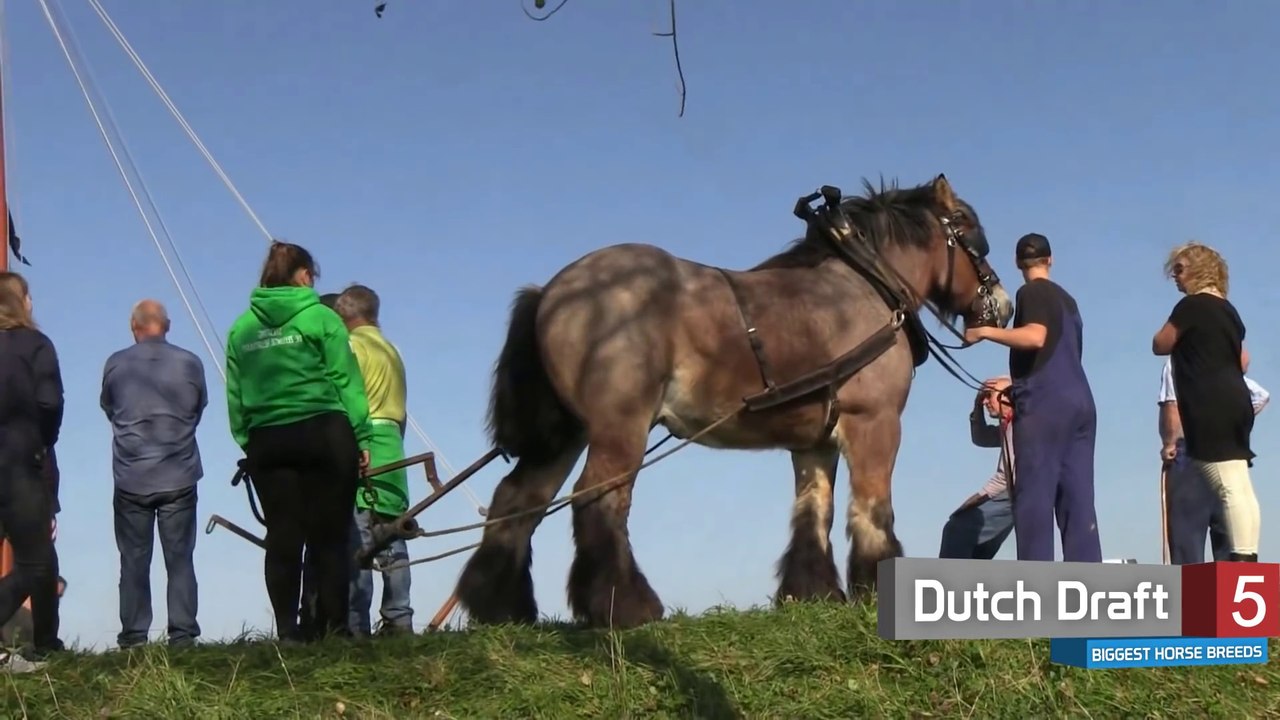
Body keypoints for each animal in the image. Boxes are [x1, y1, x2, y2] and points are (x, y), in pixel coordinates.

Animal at [454, 174, 1014, 629]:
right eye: (972, 234)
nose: (1003, 306)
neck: (865, 286)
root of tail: (552, 290)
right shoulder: (874, 422)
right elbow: (872, 509)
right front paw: (873, 589)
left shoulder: (814, 442)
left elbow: (815, 509)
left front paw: (812, 593)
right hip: (620, 428)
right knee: (599, 498)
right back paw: (625, 606)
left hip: (566, 433)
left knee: (519, 499)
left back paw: (501, 608)